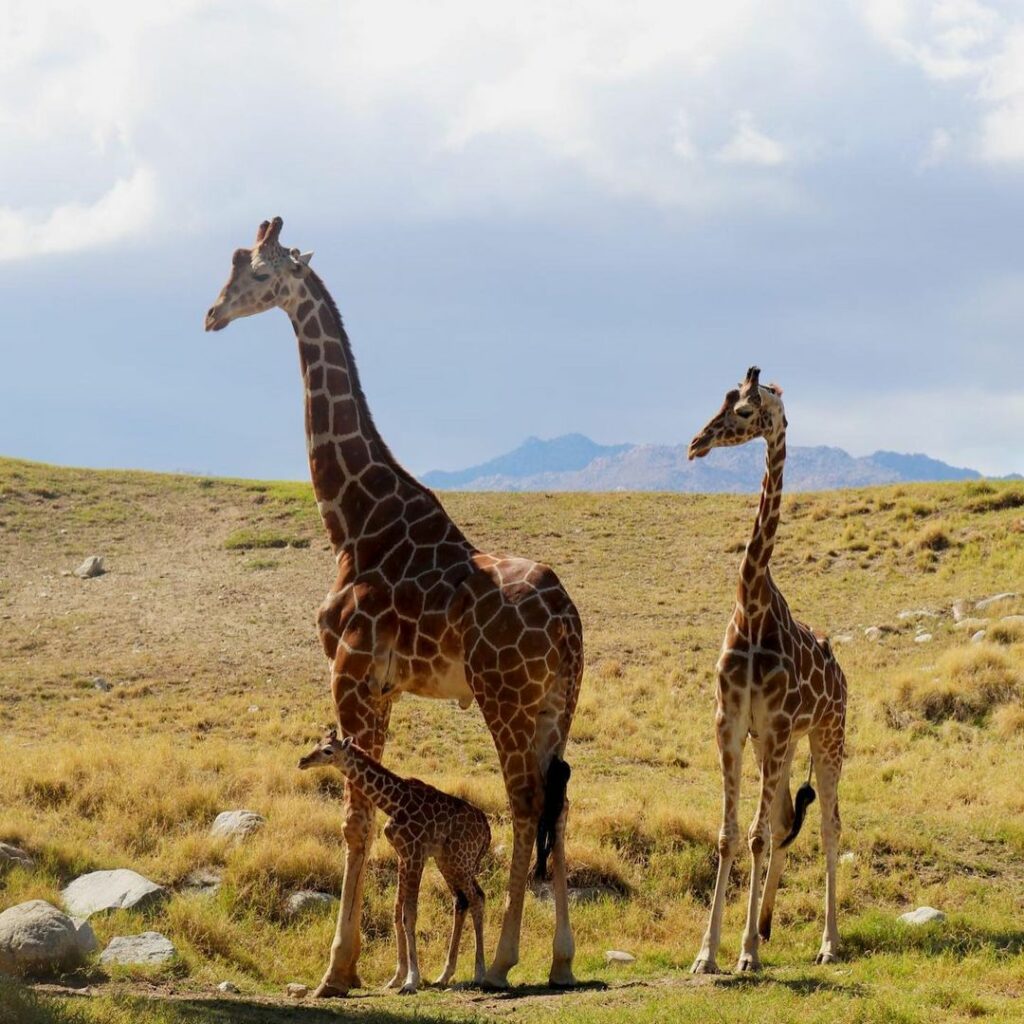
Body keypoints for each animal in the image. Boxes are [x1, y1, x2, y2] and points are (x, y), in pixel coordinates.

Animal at [299, 729, 489, 991]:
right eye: (317, 743)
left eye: (328, 750)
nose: (302, 761)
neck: (393, 802)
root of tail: (487, 831)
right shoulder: (403, 856)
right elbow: (397, 912)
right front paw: (397, 977)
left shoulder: (415, 853)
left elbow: (410, 914)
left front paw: (411, 980)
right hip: (449, 861)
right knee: (461, 901)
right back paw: (444, 975)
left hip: (461, 860)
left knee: (477, 898)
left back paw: (480, 974)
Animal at [688, 366, 847, 966]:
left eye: (743, 411)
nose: (696, 443)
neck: (752, 605)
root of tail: (842, 676)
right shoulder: (733, 723)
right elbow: (731, 835)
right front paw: (709, 954)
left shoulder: (776, 725)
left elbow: (754, 836)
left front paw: (745, 955)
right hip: (779, 744)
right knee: (782, 823)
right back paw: (764, 925)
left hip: (826, 735)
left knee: (829, 826)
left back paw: (827, 943)